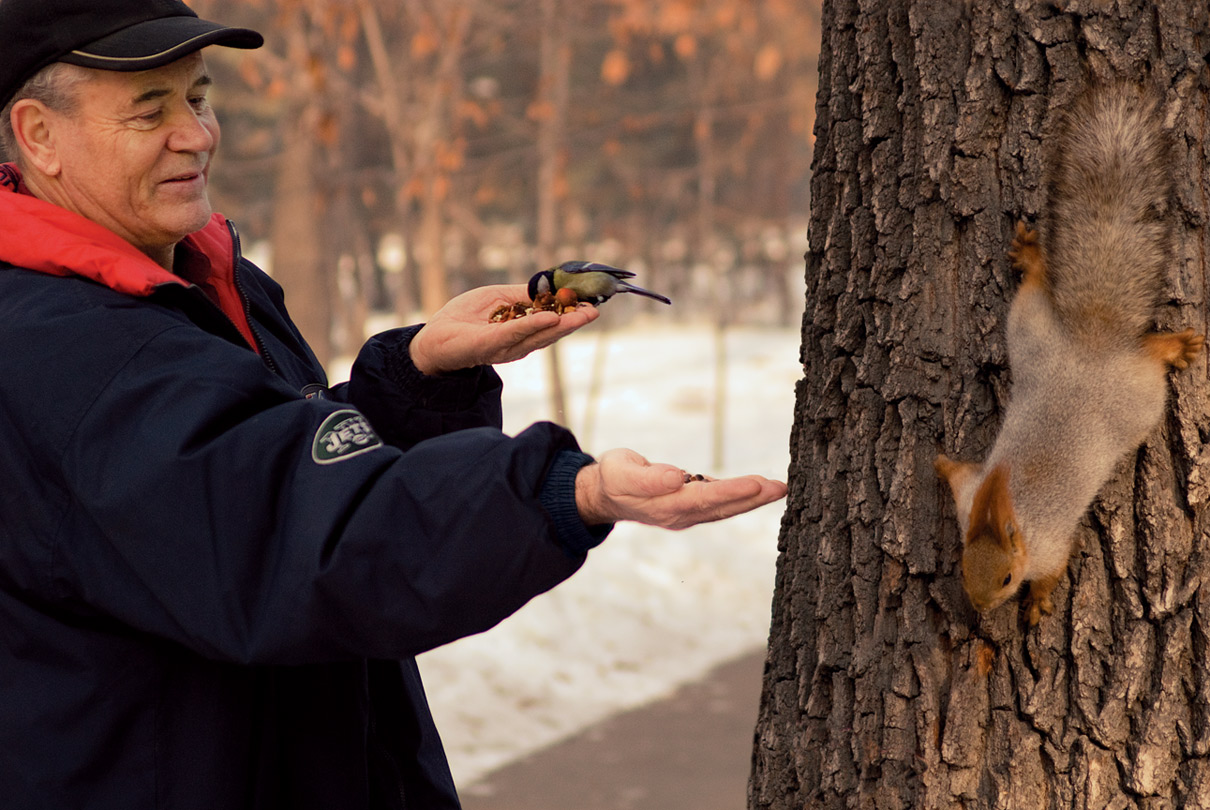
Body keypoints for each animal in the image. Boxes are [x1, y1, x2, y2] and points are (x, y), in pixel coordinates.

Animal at [934, 83, 1200, 624]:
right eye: (962, 566)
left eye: (1007, 579)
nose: (980, 608)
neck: (1012, 513)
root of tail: (1092, 341)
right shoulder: (970, 496)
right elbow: (959, 475)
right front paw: (940, 462)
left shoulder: (1051, 547)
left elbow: (1052, 574)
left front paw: (1037, 604)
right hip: (1029, 329)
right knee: (1036, 287)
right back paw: (1031, 258)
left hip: (1140, 399)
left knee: (1150, 357)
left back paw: (1177, 345)